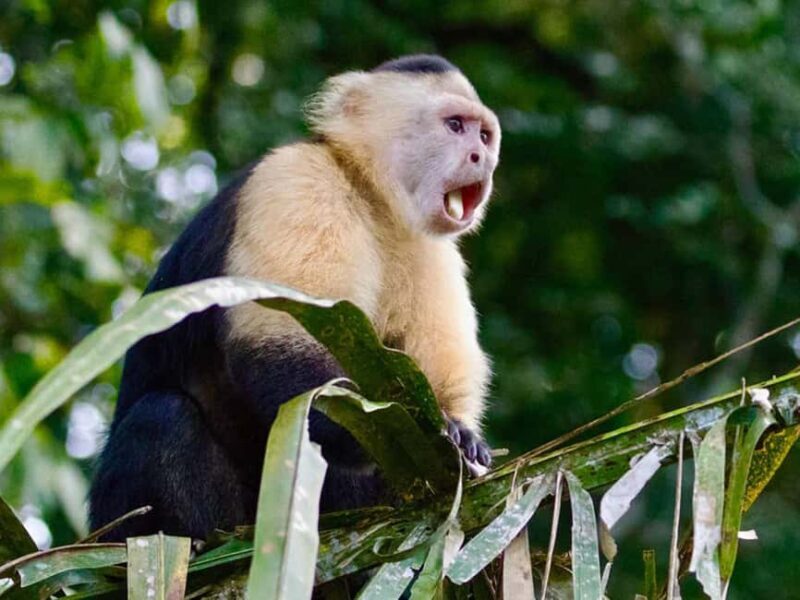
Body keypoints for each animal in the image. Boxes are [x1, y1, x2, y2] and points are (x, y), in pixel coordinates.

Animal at [88, 54, 501, 541]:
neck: (370, 192)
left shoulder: (432, 249)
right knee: (160, 418)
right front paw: (389, 429)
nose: (482, 158)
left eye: (484, 135)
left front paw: (458, 433)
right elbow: (284, 341)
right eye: (455, 126)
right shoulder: (297, 181)